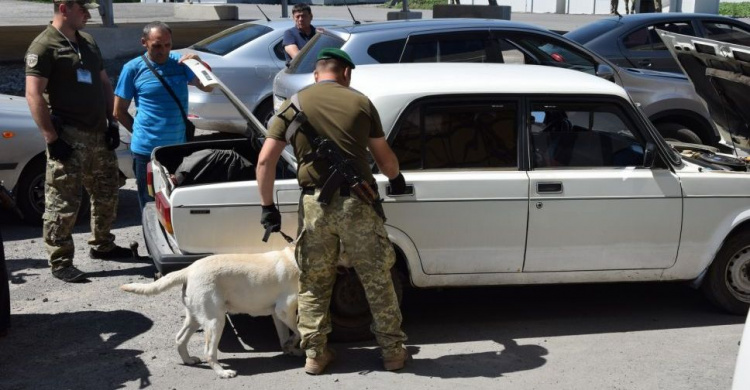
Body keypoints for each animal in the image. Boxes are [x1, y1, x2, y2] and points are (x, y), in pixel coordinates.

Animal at [120, 247, 302, 378]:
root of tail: (189, 270)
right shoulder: (284, 310)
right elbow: (299, 331)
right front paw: (295, 345)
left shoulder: (277, 314)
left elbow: (286, 335)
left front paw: (290, 348)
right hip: (216, 321)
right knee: (208, 352)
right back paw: (222, 372)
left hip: (195, 318)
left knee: (180, 338)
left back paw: (188, 360)